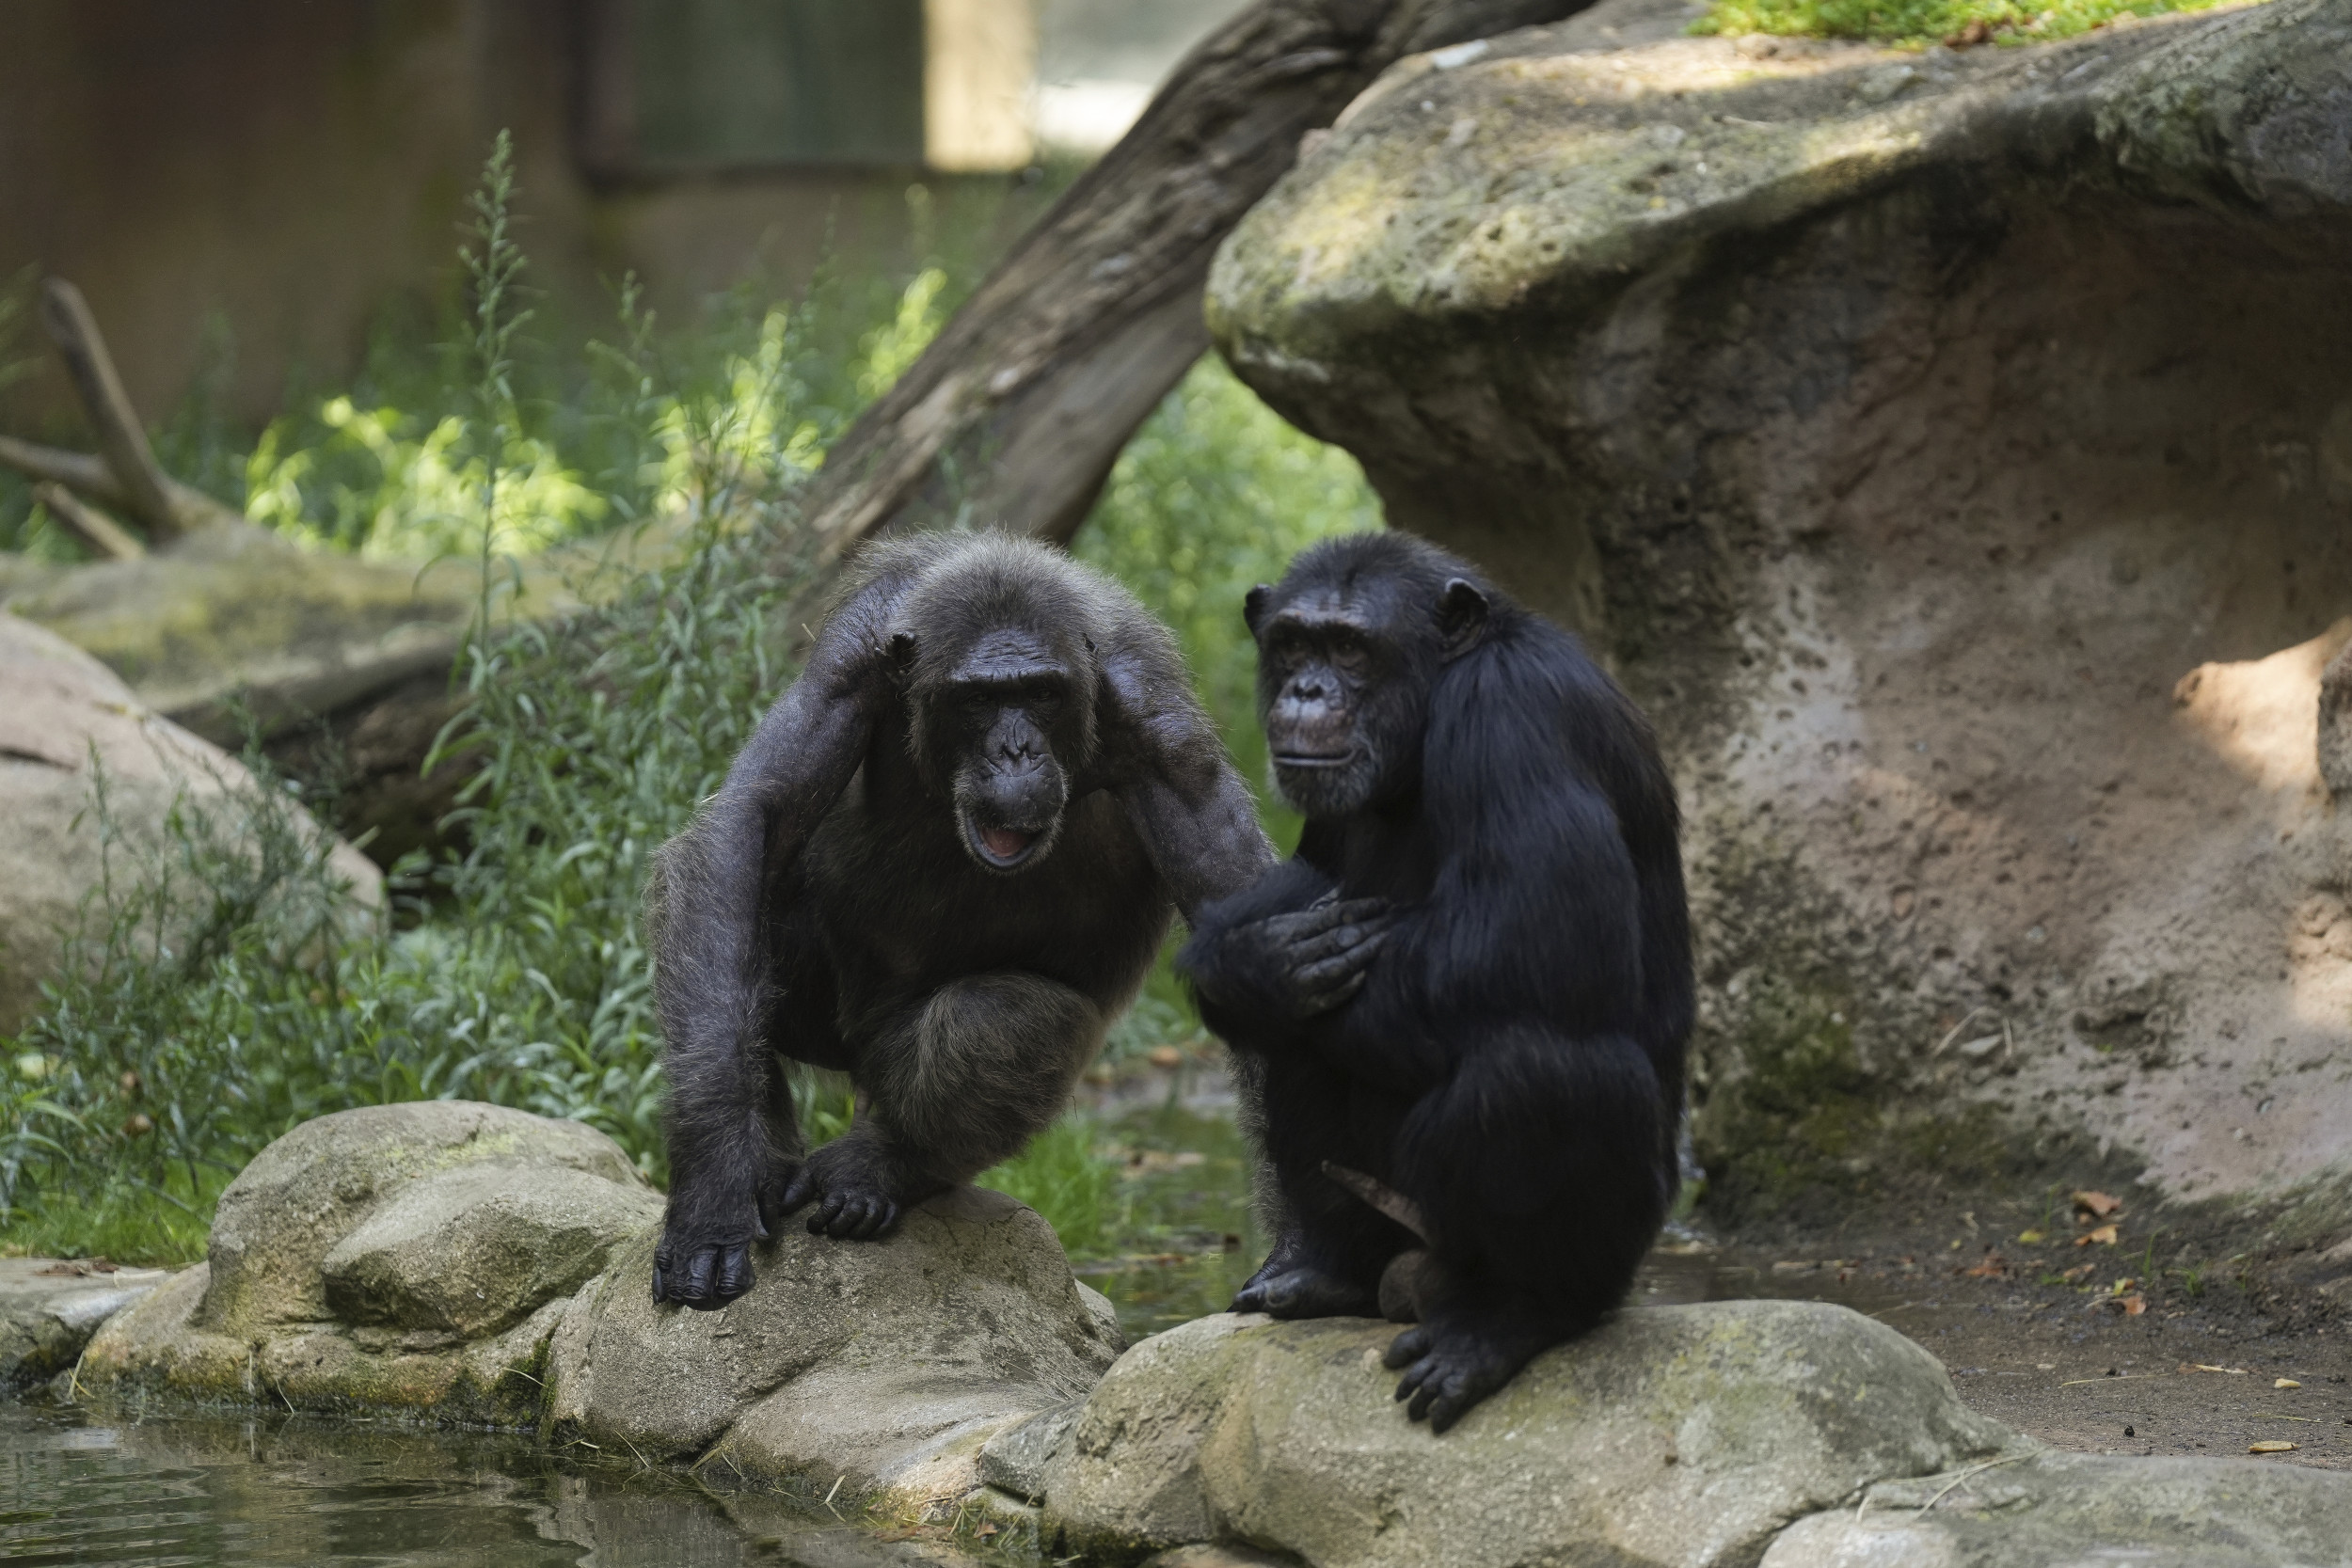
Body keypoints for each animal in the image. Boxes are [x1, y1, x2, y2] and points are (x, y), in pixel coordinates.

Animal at [645, 531, 1272, 1308]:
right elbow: (750, 823)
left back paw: (882, 1166)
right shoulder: (846, 663)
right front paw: (712, 1196)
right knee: (747, 916)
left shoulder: (1160, 730)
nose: (1015, 749)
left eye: (1041, 693)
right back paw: (767, 1160)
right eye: (977, 699)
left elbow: (1244, 906)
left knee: (999, 1015)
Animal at [1178, 531, 1692, 1431]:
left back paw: (1508, 1316)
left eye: (1352, 648)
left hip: (1606, 1245)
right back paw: (1326, 1266)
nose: (1308, 689)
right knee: (1297, 1041)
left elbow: (1531, 938)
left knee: (1536, 1075)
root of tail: (1413, 1276)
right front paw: (1246, 966)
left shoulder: (1515, 712)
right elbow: (1310, 877)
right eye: (1294, 645)